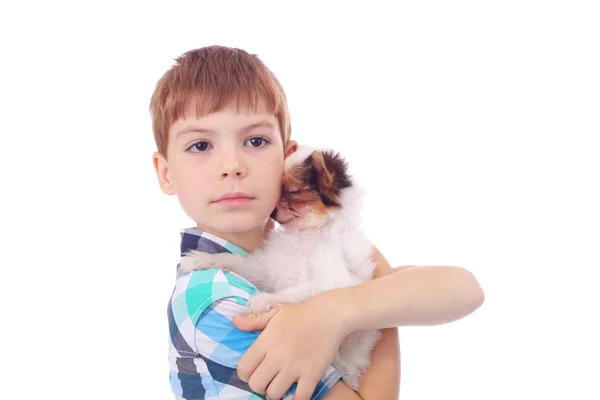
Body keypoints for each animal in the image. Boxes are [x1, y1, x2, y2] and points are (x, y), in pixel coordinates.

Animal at [180, 145, 382, 390]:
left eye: (294, 192)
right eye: (278, 190)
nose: (272, 213)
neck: (308, 234)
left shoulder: (332, 282)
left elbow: (298, 292)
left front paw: (263, 299)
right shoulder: (265, 269)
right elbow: (233, 259)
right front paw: (199, 259)